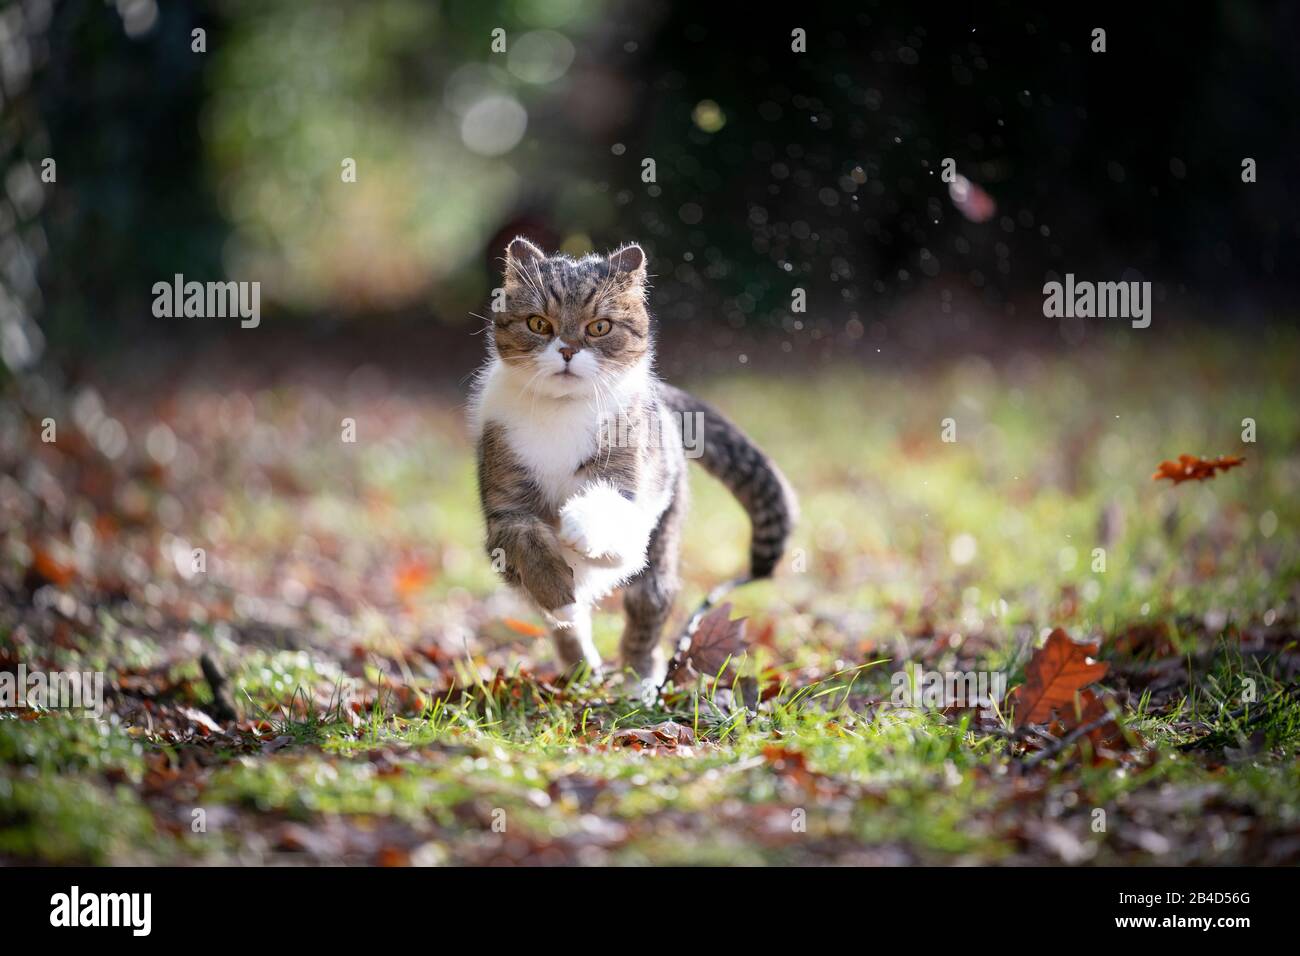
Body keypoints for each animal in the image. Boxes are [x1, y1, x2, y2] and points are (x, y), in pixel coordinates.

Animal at [467, 239, 790, 686]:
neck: (562, 411)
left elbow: (613, 522)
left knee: (648, 607)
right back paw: (581, 666)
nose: (567, 350)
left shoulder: (628, 484)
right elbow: (526, 543)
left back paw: (640, 679)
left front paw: (585, 534)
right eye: (538, 324)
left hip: (663, 539)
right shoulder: (503, 509)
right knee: (564, 628)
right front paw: (561, 595)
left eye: (600, 327)